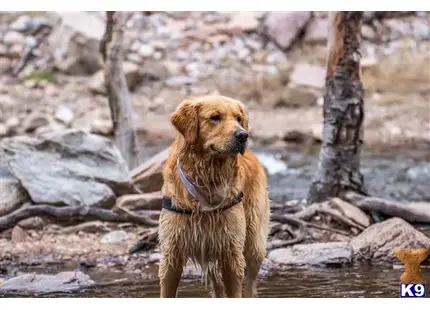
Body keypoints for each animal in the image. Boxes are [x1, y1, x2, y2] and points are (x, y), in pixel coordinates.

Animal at [158, 94, 270, 298]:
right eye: (215, 117)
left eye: (238, 118)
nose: (243, 135)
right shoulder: (172, 253)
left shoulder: (231, 252)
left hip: (254, 241)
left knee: (251, 282)